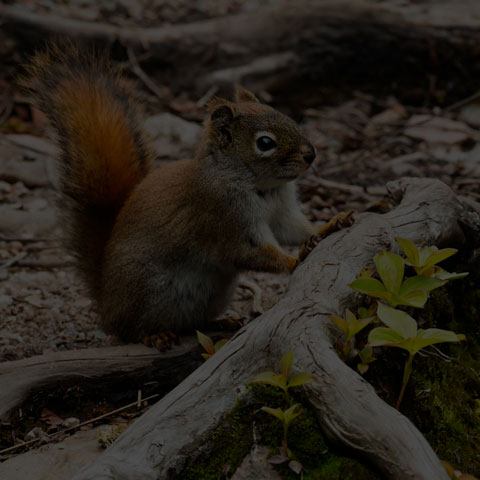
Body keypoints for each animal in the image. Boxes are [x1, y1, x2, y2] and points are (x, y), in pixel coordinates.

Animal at [24, 45, 320, 344]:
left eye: (284, 115)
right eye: (265, 142)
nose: (311, 154)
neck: (265, 187)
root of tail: (107, 306)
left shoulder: (282, 212)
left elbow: (292, 229)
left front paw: (324, 229)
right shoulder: (224, 218)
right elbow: (250, 252)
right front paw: (294, 259)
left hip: (212, 294)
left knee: (193, 323)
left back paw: (220, 322)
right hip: (147, 291)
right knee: (132, 330)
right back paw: (154, 336)